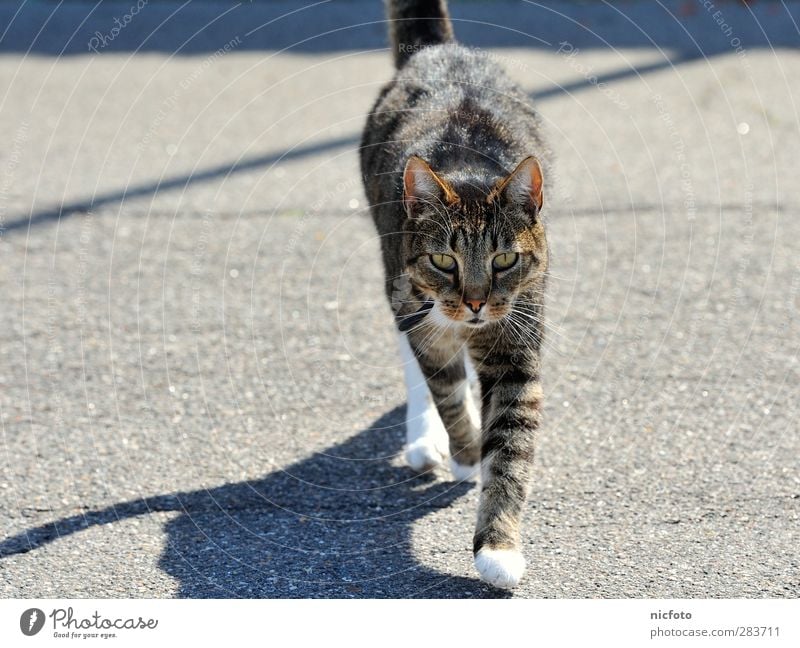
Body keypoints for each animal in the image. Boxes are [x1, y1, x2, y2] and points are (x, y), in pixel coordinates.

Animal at [360, 0, 552, 588]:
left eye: (504, 260)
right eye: (444, 260)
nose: (474, 302)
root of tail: (441, 52)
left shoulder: (516, 343)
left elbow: (510, 446)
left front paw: (499, 547)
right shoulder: (424, 319)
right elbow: (444, 390)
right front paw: (466, 453)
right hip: (396, 284)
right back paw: (426, 441)